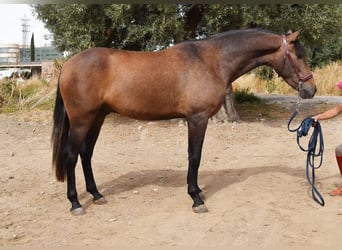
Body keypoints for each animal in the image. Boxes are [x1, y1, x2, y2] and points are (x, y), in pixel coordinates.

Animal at [52, 28, 316, 215]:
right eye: (299, 55)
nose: (311, 90)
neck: (210, 61)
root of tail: (68, 65)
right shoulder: (197, 118)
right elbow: (194, 156)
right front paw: (196, 198)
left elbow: (195, 156)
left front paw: (197, 191)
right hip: (81, 121)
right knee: (71, 155)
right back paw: (75, 203)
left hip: (97, 118)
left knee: (86, 154)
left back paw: (96, 195)